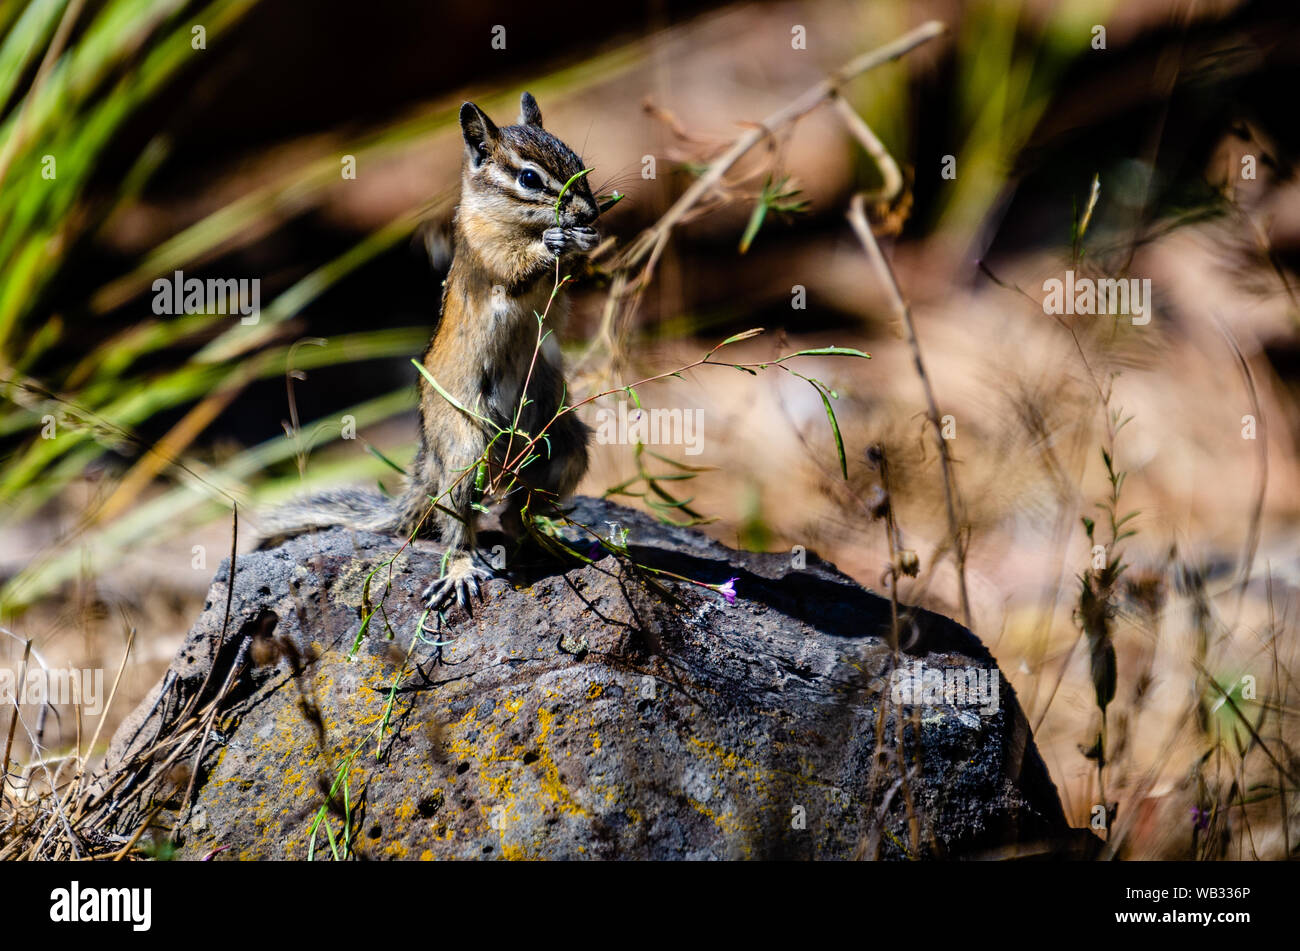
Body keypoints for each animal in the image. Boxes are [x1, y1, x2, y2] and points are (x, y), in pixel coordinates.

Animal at [262, 92, 599, 611]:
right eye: (529, 179)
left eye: (578, 161)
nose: (590, 213)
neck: (509, 222)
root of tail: (428, 463)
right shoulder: (483, 252)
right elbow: (514, 268)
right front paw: (556, 240)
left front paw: (585, 242)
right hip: (463, 452)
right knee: (458, 525)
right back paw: (461, 570)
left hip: (562, 444)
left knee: (514, 515)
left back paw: (550, 542)